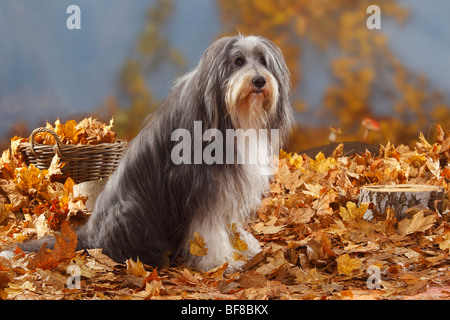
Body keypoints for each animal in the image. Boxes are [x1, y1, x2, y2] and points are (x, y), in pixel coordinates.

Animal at [14, 35, 294, 272]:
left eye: (262, 60)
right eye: (238, 61)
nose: (259, 81)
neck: (232, 117)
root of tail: (91, 234)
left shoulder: (227, 187)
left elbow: (230, 223)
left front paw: (243, 247)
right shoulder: (204, 190)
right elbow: (208, 230)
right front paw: (218, 261)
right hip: (132, 213)